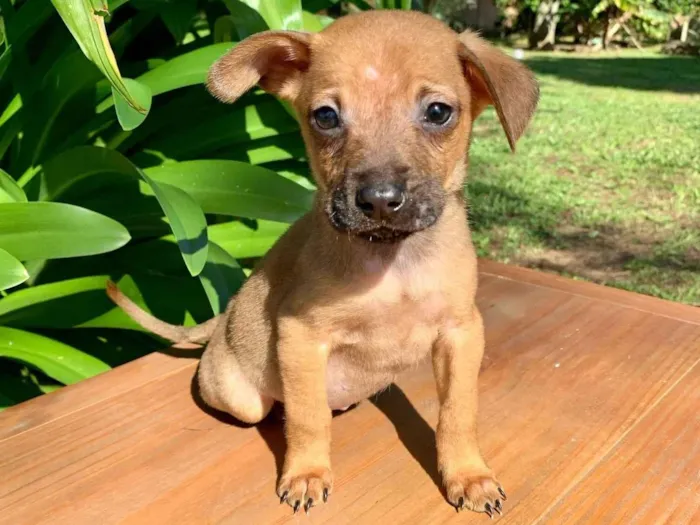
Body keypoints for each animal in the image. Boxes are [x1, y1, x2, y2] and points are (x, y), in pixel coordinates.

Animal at [106, 10, 540, 516]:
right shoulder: (301, 335)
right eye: (326, 117)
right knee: (270, 408)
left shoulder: (461, 333)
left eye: (438, 112)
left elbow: (459, 413)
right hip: (240, 396)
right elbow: (308, 418)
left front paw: (469, 476)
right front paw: (306, 473)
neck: (391, 262)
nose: (379, 200)